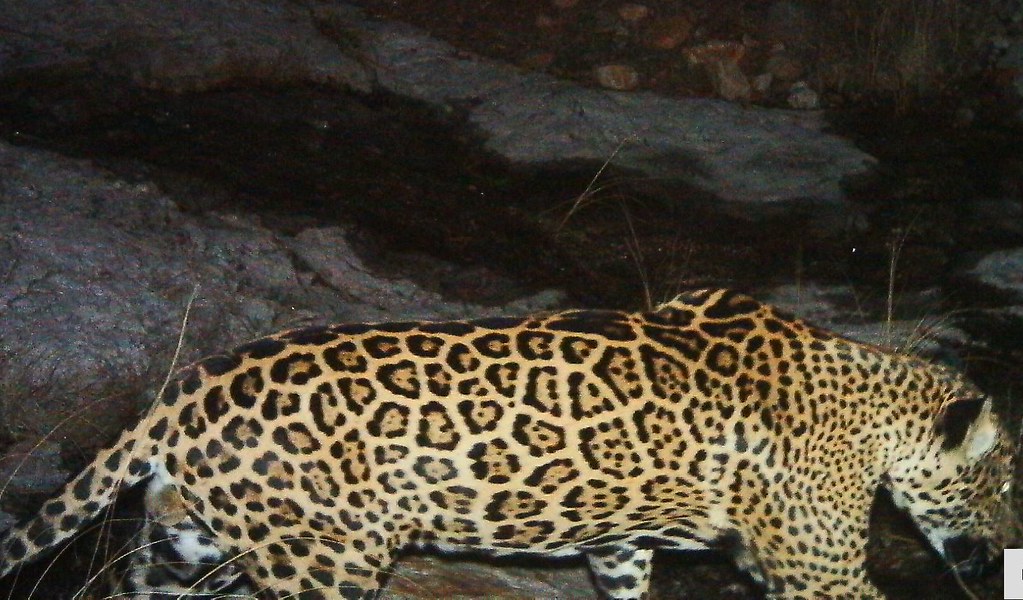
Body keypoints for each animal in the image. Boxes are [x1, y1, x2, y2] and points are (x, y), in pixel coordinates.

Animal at [0, 288, 1015, 599]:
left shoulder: (619, 543)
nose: (1007, 544)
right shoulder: (818, 569)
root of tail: (183, 389)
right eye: (1002, 486)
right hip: (324, 563)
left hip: (191, 543)